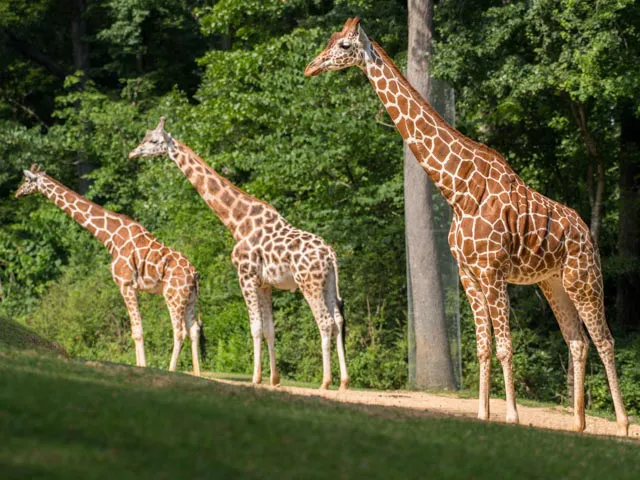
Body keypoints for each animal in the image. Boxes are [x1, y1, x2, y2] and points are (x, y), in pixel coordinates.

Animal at [15, 163, 205, 376]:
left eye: (27, 180)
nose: (17, 193)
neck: (109, 236)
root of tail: (195, 275)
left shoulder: (125, 283)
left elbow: (137, 331)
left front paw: (142, 368)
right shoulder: (131, 286)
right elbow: (136, 330)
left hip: (173, 296)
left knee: (179, 331)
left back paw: (172, 371)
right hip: (190, 298)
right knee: (194, 329)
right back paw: (198, 374)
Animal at [129, 118, 350, 392]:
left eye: (153, 140)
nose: (133, 153)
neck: (236, 221)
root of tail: (330, 254)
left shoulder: (245, 276)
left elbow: (255, 327)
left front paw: (256, 378)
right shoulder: (265, 283)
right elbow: (269, 329)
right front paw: (274, 379)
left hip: (309, 282)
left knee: (325, 322)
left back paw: (325, 382)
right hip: (328, 281)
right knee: (338, 320)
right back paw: (344, 382)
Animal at [304, 16, 632, 436]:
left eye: (344, 45)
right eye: (331, 40)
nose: (311, 67)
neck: (457, 189)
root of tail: (587, 232)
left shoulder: (492, 271)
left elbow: (505, 345)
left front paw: (511, 416)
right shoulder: (468, 274)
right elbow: (483, 346)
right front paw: (482, 413)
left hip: (584, 276)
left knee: (604, 339)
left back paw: (622, 424)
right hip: (552, 282)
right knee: (577, 340)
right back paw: (577, 423)